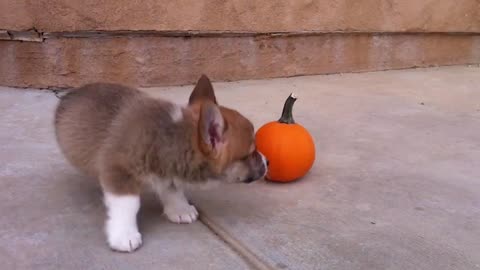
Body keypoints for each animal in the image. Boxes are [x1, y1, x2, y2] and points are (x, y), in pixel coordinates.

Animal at [55, 75, 270, 252]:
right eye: (251, 153)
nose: (267, 161)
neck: (172, 135)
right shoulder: (119, 170)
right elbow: (128, 204)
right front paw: (124, 235)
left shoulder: (169, 170)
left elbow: (172, 189)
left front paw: (180, 209)